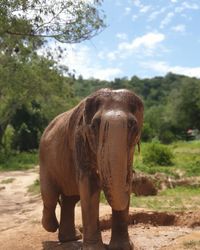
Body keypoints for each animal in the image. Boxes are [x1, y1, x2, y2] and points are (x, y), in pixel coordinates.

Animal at [39, 88, 144, 250]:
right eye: (94, 125)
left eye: (133, 125)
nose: (133, 173)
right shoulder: (80, 138)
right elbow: (89, 182)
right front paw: (95, 248)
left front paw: (122, 248)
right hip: (45, 160)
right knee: (50, 196)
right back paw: (52, 227)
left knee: (70, 199)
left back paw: (71, 238)